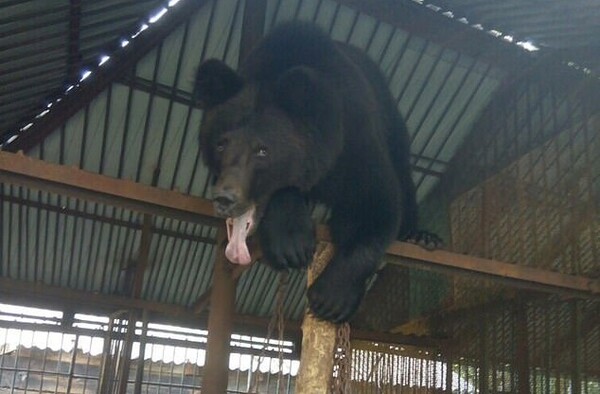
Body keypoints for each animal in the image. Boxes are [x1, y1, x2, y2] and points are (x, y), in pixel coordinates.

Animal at [197, 22, 422, 324]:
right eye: (220, 144)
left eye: (262, 151)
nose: (225, 199)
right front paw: (291, 244)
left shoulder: (355, 135)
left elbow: (376, 203)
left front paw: (332, 298)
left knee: (401, 165)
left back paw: (420, 235)